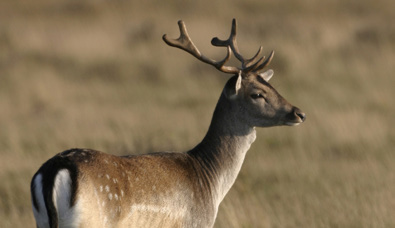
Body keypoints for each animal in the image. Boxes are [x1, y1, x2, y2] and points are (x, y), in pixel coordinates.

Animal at [31, 18, 306, 227]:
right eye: (257, 94)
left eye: (271, 84)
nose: (299, 113)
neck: (211, 183)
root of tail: (53, 171)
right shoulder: (196, 224)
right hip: (90, 221)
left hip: (42, 221)